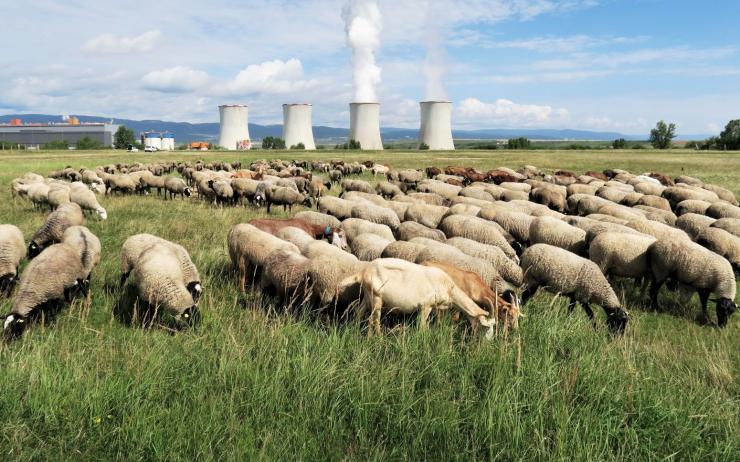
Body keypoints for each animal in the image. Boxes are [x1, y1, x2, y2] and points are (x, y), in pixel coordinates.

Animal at [342, 260, 498, 336]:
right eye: (485, 328)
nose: (487, 345)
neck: (448, 287)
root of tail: (364, 272)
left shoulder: (436, 308)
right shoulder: (426, 306)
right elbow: (422, 327)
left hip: (367, 296)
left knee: (360, 313)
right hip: (376, 297)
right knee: (374, 320)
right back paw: (378, 339)